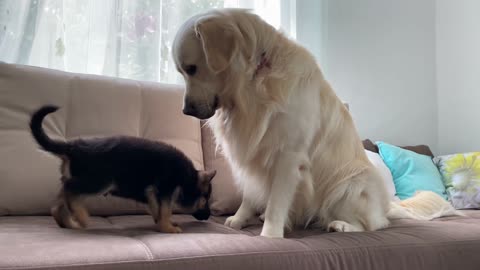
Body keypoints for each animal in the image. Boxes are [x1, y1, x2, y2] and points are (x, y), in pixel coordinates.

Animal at [30, 105, 216, 232]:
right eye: (205, 199)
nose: (208, 216)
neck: (188, 177)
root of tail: (72, 147)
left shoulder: (152, 193)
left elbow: (157, 209)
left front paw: (162, 224)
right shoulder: (165, 189)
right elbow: (165, 210)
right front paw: (167, 228)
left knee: (59, 204)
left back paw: (69, 223)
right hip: (99, 181)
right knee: (70, 191)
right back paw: (81, 217)